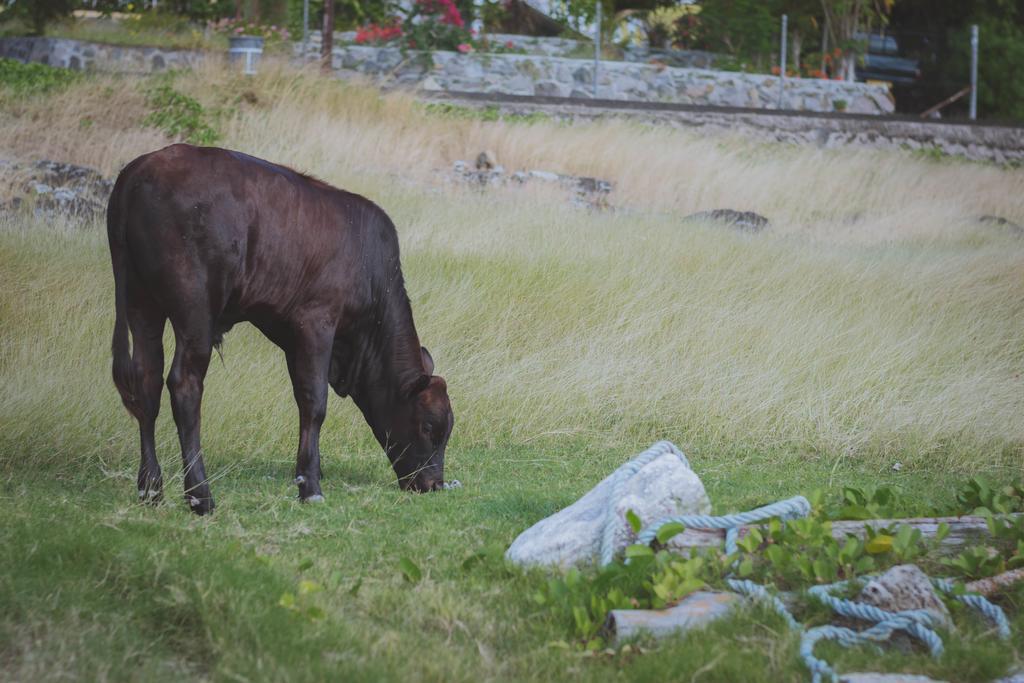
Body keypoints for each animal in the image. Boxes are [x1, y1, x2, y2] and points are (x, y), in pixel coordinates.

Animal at [105, 144, 454, 511]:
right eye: (429, 427)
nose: (434, 484)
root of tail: (142, 168)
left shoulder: (291, 336)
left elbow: (301, 398)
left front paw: (305, 472)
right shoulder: (317, 322)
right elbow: (315, 402)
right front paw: (311, 485)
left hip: (141, 302)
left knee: (146, 382)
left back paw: (151, 489)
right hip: (194, 310)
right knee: (185, 385)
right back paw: (200, 493)